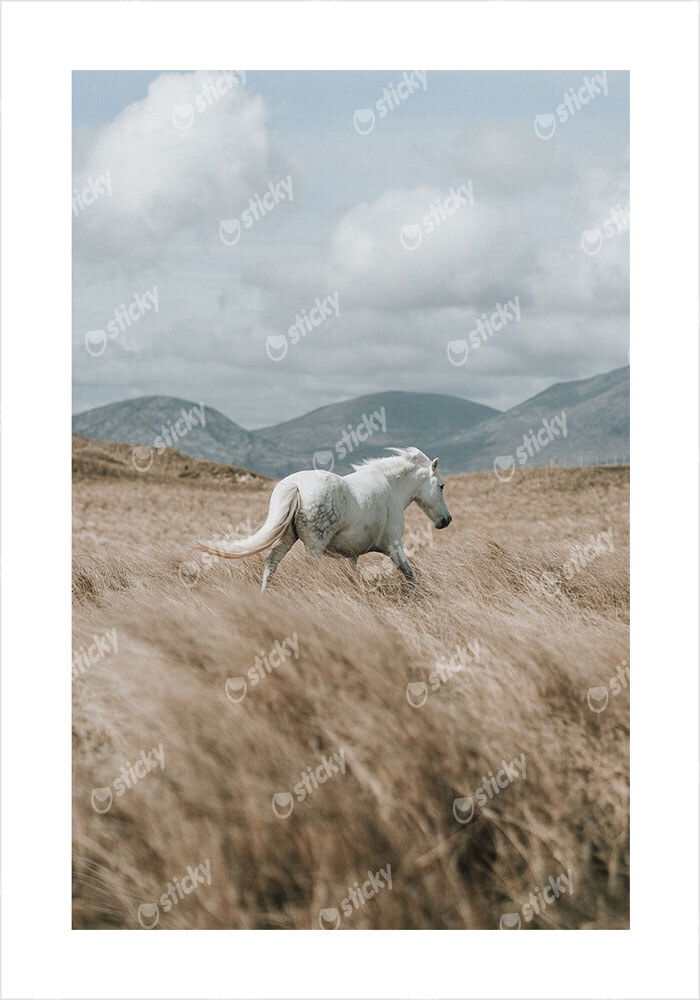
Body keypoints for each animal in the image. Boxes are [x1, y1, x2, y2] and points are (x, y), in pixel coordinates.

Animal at [198, 447, 452, 592]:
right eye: (441, 486)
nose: (446, 520)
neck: (390, 487)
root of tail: (295, 485)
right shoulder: (394, 546)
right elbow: (408, 573)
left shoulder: (352, 556)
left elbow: (354, 578)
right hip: (314, 546)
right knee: (304, 573)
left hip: (287, 539)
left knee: (271, 565)